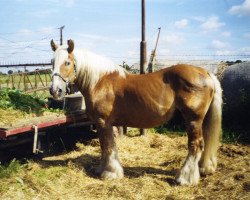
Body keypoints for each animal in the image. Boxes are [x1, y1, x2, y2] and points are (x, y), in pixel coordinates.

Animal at [49, 39, 222, 186]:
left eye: (67, 62)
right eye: (52, 62)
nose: (55, 90)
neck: (100, 82)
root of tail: (206, 73)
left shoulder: (104, 122)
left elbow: (108, 146)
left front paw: (110, 173)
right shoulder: (103, 124)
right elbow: (106, 146)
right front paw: (103, 169)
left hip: (193, 120)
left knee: (195, 145)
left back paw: (185, 178)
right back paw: (203, 169)